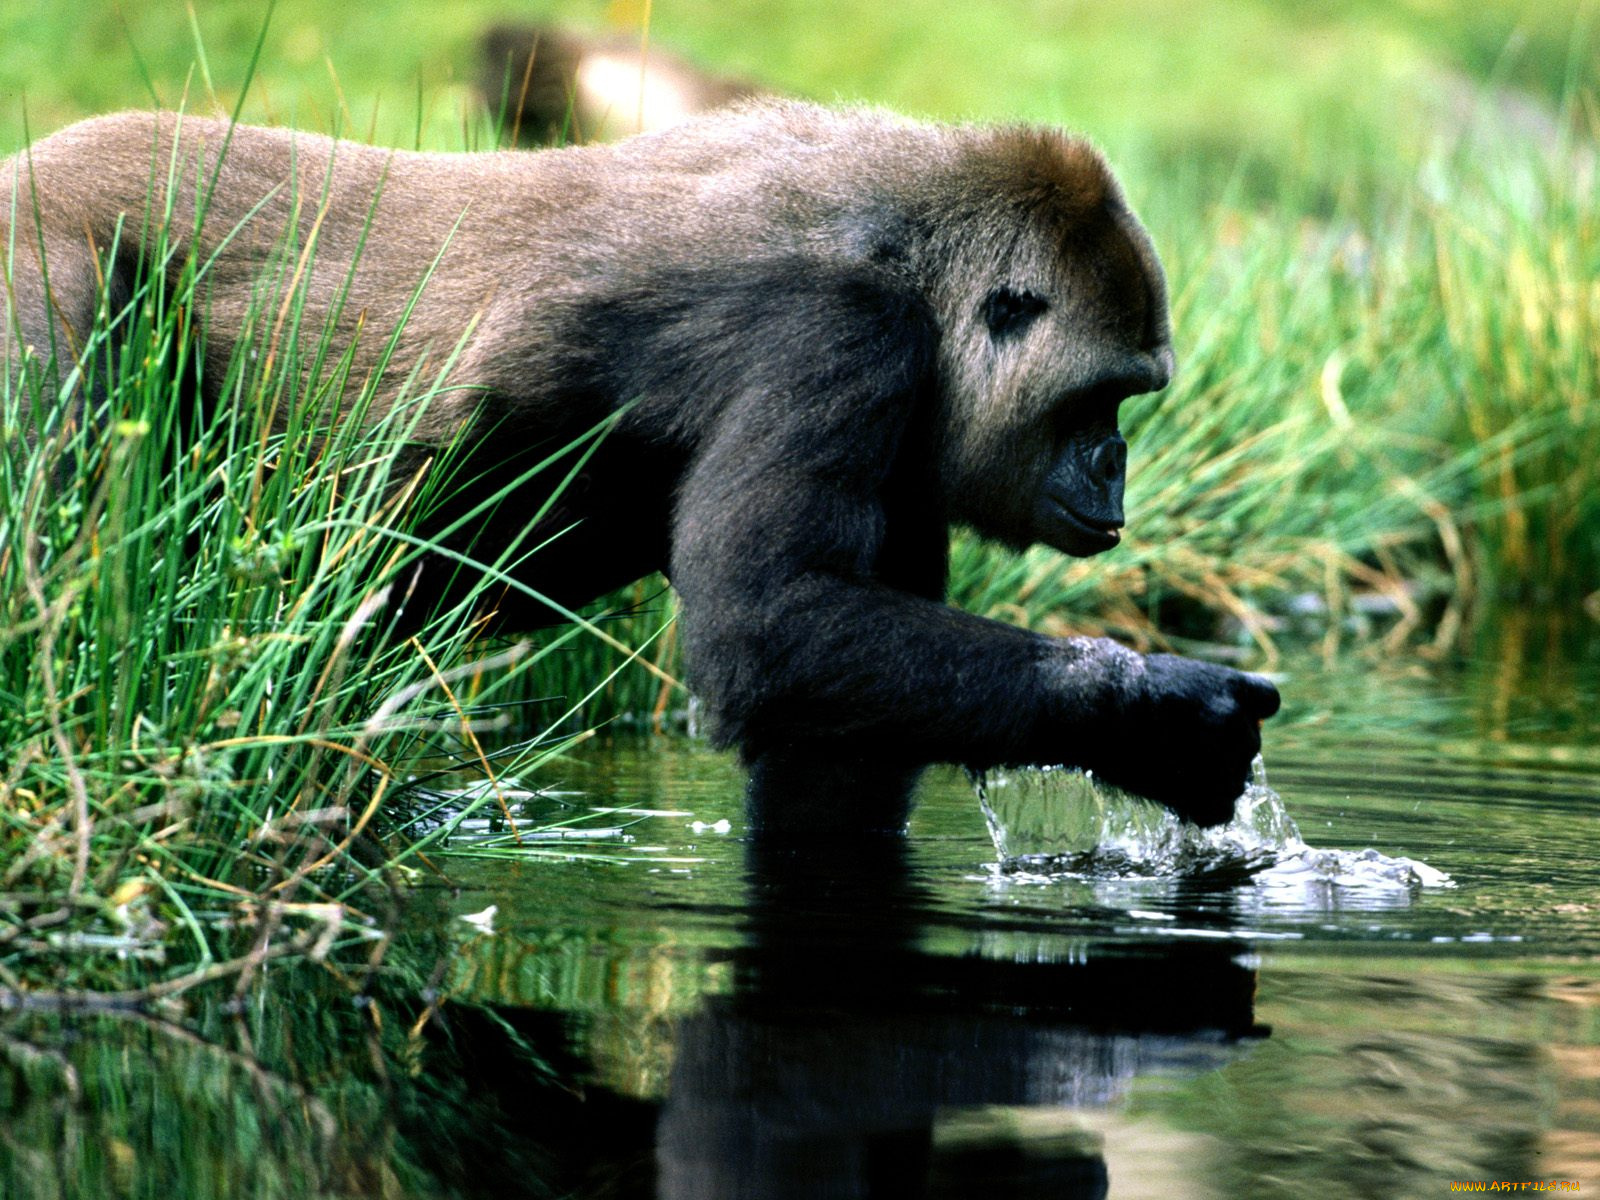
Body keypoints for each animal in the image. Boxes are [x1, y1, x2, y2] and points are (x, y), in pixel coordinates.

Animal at [1, 101, 1280, 836]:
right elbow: (772, 628)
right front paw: (1148, 710)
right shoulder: (839, 329)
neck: (914, 249)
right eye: (1101, 402)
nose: (1115, 470)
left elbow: (835, 709)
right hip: (39, 251)